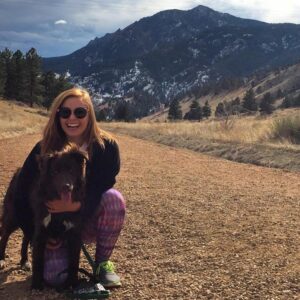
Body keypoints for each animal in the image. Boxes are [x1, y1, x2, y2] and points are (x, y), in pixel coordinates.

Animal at [0, 144, 87, 290]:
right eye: (55, 172)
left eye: (71, 170)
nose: (66, 187)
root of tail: (18, 172)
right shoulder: (40, 232)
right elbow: (39, 261)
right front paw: (36, 284)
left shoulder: (74, 234)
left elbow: (74, 262)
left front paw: (72, 284)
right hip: (14, 217)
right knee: (5, 236)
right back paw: (1, 259)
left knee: (25, 238)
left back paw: (24, 261)